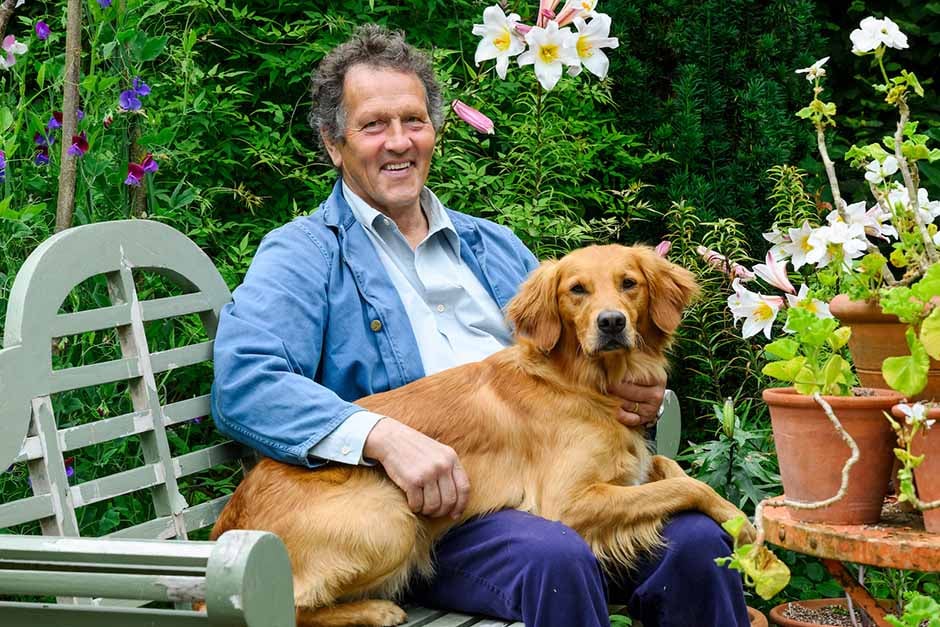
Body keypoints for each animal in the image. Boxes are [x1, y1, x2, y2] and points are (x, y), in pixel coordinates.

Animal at [209, 245, 752, 627]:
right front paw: (743, 524)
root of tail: (225, 530)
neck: (583, 382)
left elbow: (670, 468)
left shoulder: (631, 465)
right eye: (576, 290)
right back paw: (373, 610)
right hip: (391, 518)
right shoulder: (569, 501)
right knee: (291, 607)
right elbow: (686, 485)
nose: (612, 322)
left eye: (629, 284)